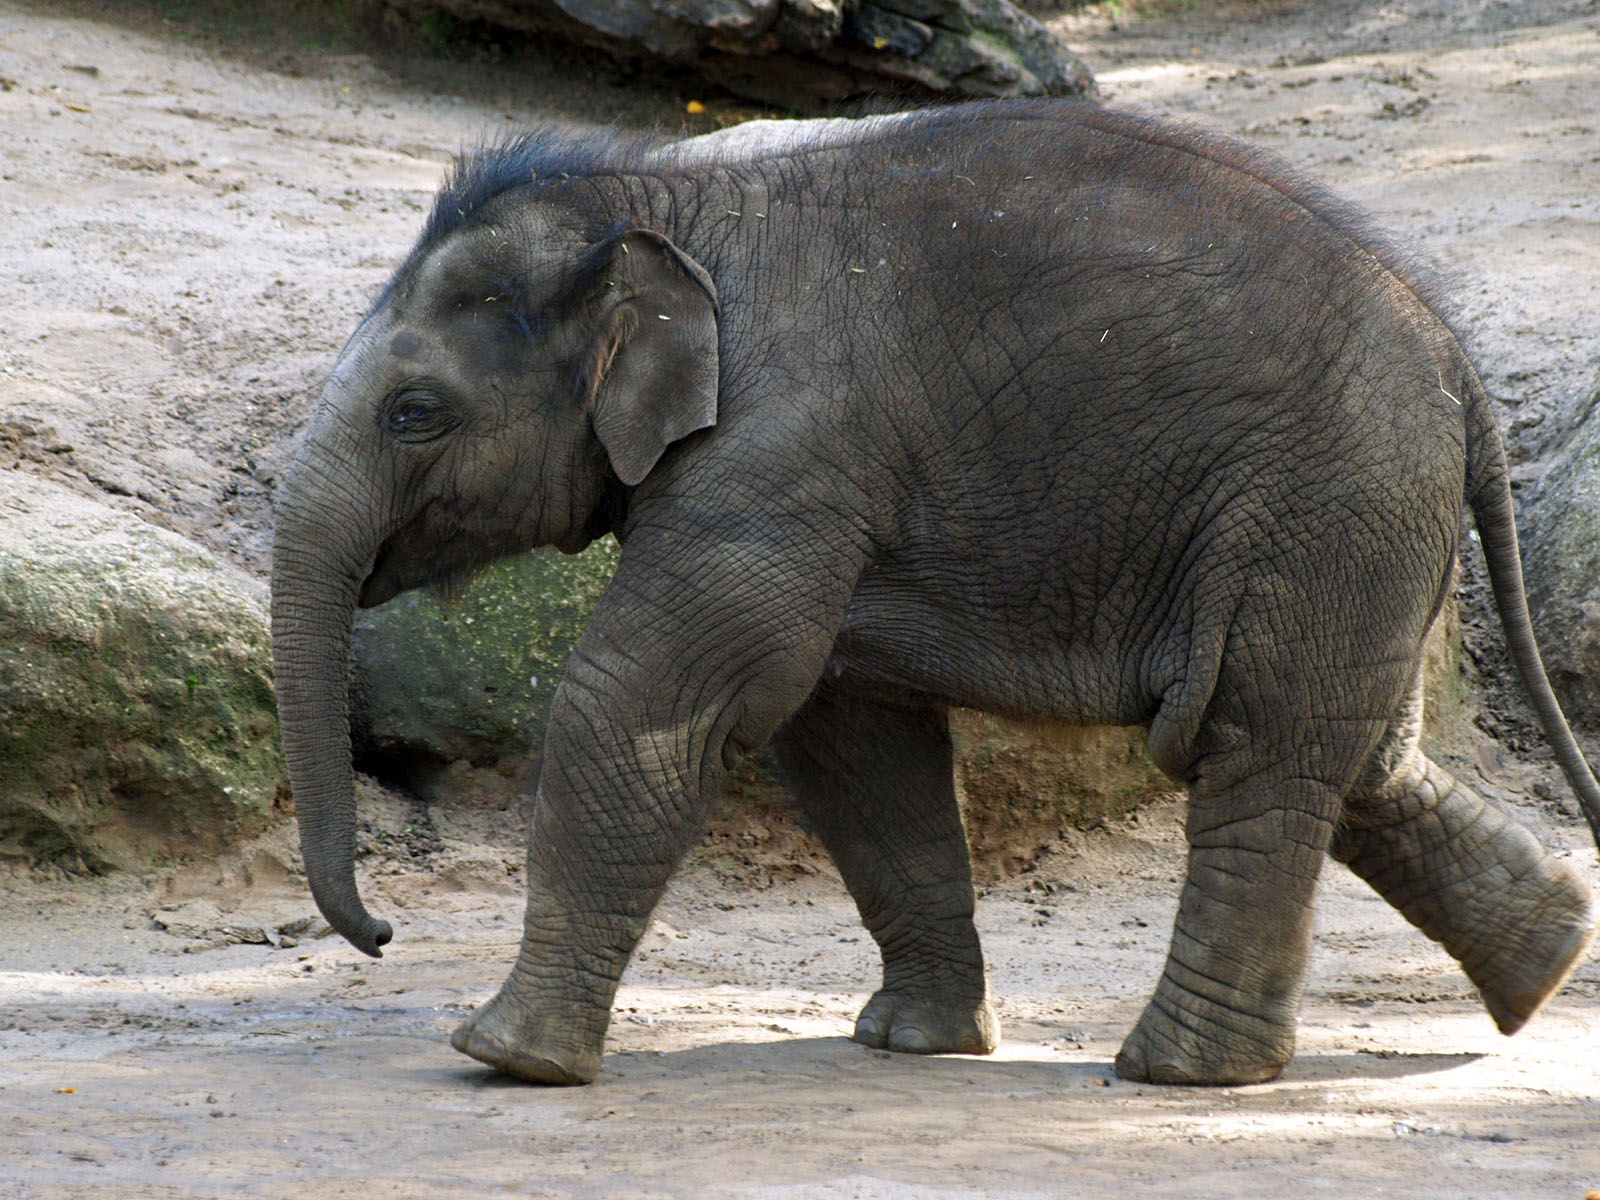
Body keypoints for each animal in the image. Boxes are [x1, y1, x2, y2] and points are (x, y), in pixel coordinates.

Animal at [271, 99, 1600, 1087]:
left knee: (1250, 748)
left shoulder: (781, 449)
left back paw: (1178, 1075)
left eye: (415, 413)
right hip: (1355, 534)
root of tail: (1459, 363)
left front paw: (503, 1058)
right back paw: (1545, 962)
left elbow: (648, 702)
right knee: (1353, 756)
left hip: (1319, 508)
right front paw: (913, 1044)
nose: (380, 935)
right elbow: (849, 742)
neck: (657, 197)